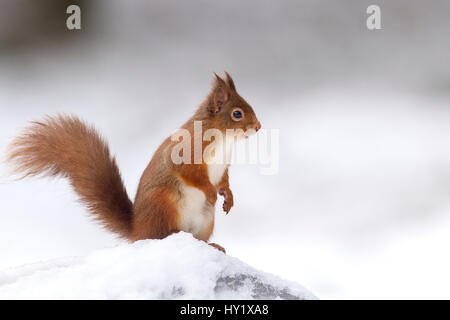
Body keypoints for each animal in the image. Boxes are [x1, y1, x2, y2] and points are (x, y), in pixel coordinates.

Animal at [6, 72, 260, 252]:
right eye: (237, 113)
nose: (258, 127)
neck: (224, 138)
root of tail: (137, 230)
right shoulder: (187, 152)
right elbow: (190, 173)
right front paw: (210, 191)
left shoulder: (223, 165)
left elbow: (224, 180)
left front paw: (228, 196)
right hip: (164, 205)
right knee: (160, 235)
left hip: (206, 221)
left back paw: (211, 245)